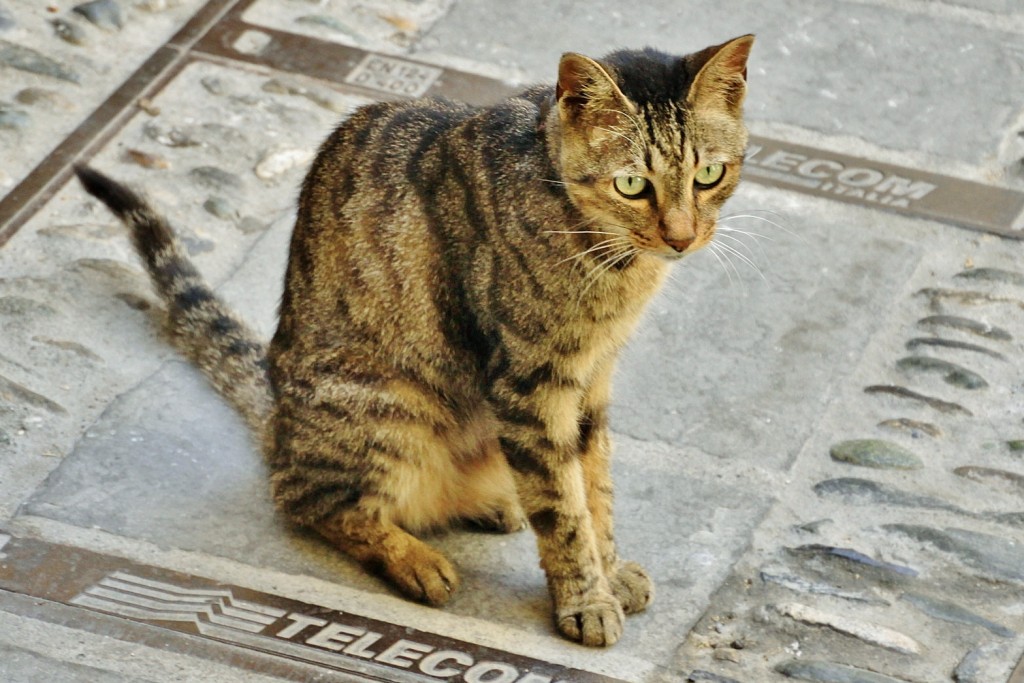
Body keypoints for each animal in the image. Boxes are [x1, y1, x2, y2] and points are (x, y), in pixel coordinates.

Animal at [75, 34, 753, 651]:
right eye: (633, 184)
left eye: (709, 174)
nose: (682, 237)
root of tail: (278, 422)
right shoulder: (530, 386)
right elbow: (564, 509)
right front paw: (587, 600)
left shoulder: (592, 382)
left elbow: (595, 487)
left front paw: (609, 571)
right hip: (390, 403)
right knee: (307, 498)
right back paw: (416, 560)